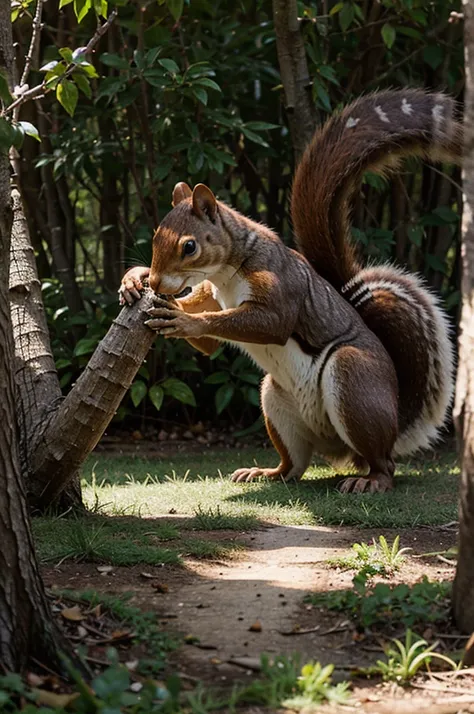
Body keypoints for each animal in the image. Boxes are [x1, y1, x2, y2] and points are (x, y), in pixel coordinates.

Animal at [119, 87, 462, 490]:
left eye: (189, 247)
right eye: (157, 235)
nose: (157, 282)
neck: (226, 275)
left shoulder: (279, 286)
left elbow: (271, 323)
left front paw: (185, 321)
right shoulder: (211, 293)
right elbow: (209, 343)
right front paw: (133, 279)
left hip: (355, 382)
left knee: (384, 462)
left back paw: (370, 480)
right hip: (275, 401)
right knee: (295, 465)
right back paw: (265, 472)